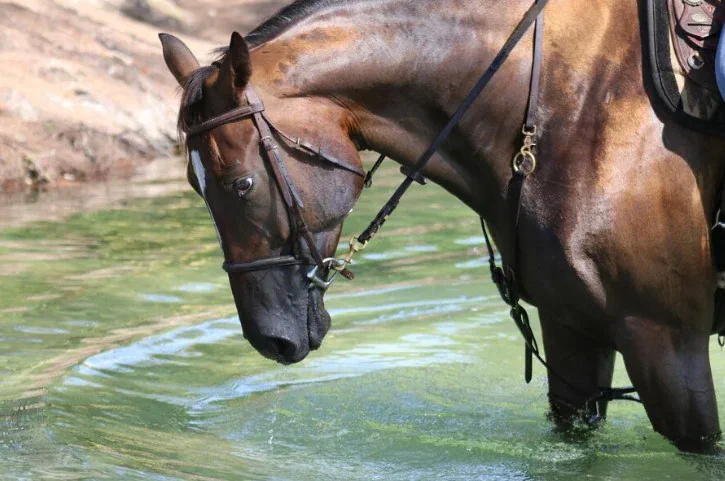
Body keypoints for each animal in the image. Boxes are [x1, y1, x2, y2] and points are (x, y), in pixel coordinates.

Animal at [159, 0, 725, 452]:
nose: (268, 341)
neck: (571, 100)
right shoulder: (571, 331)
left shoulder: (667, 344)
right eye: (194, 185)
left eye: (241, 185)